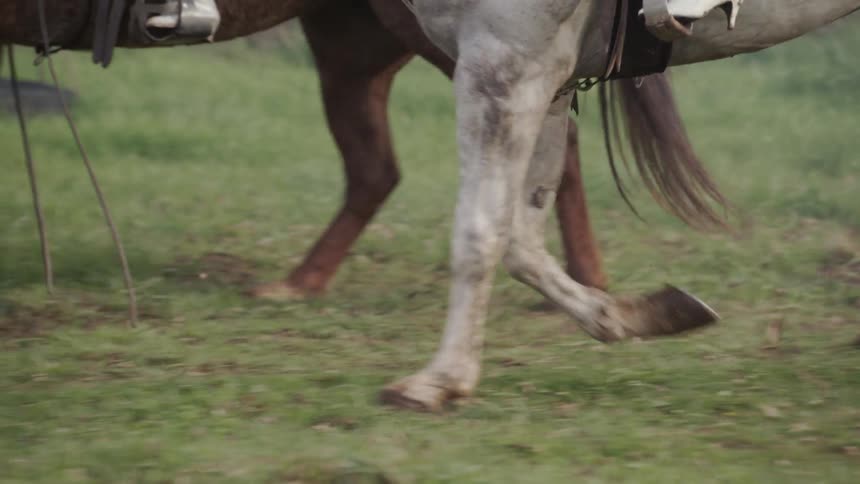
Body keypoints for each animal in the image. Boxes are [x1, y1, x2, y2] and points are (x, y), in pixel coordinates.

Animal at [375, 0, 860, 411]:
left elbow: (479, 233)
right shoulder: (544, 76)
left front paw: (440, 380)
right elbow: (521, 239)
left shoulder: (504, 64)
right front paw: (633, 315)